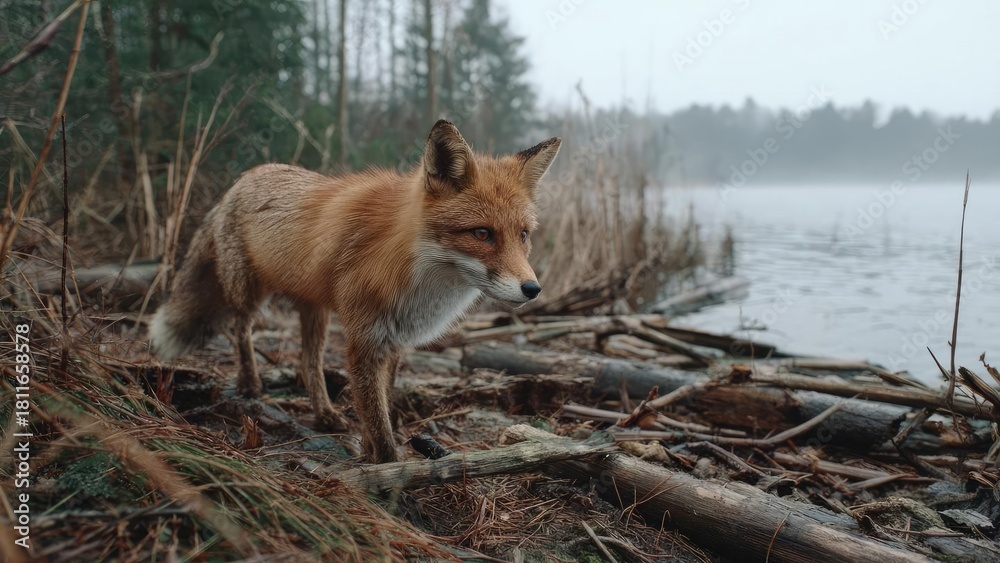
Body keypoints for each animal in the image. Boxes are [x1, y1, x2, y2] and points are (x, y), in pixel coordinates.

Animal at [149, 120, 561, 463]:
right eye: (482, 233)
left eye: (523, 235)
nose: (532, 289)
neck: (414, 270)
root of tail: (243, 179)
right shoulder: (365, 337)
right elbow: (378, 419)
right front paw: (390, 473)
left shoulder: (394, 339)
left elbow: (379, 405)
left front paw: (369, 452)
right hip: (249, 293)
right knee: (240, 329)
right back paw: (250, 384)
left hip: (315, 310)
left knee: (307, 363)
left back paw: (324, 414)